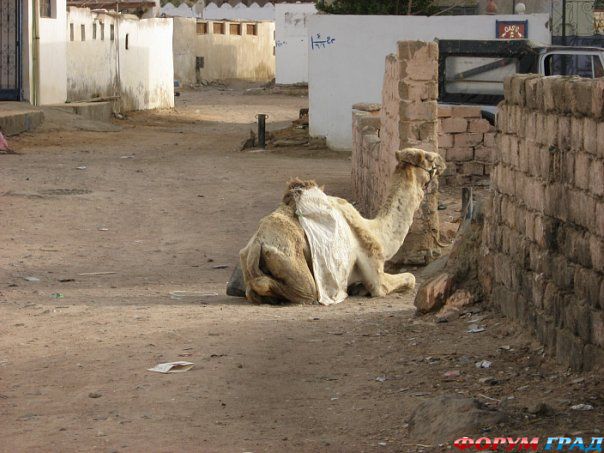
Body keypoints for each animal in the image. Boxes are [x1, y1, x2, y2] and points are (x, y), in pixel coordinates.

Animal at [238, 147, 446, 304]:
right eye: (428, 157)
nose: (442, 160)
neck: (376, 231)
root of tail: (257, 244)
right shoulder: (375, 270)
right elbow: (409, 278)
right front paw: (360, 289)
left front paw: (358, 288)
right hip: (294, 265)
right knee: (306, 290)